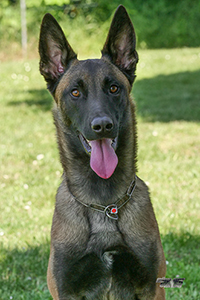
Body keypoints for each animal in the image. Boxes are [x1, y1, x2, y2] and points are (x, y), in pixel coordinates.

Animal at [38, 5, 166, 300]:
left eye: (114, 88)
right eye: (75, 92)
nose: (103, 126)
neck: (105, 205)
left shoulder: (151, 288)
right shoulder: (66, 290)